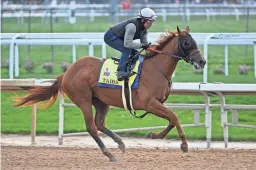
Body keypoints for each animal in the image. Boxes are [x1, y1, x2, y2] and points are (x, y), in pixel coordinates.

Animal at [14, 25, 206, 161]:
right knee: (92, 127)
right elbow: (174, 117)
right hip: (83, 99)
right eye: (187, 43)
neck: (156, 69)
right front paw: (184, 145)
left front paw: (154, 135)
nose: (202, 61)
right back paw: (109, 154)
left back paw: (120, 143)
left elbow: (172, 120)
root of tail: (67, 72)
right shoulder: (150, 103)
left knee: (99, 124)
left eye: (195, 41)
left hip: (101, 101)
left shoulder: (157, 104)